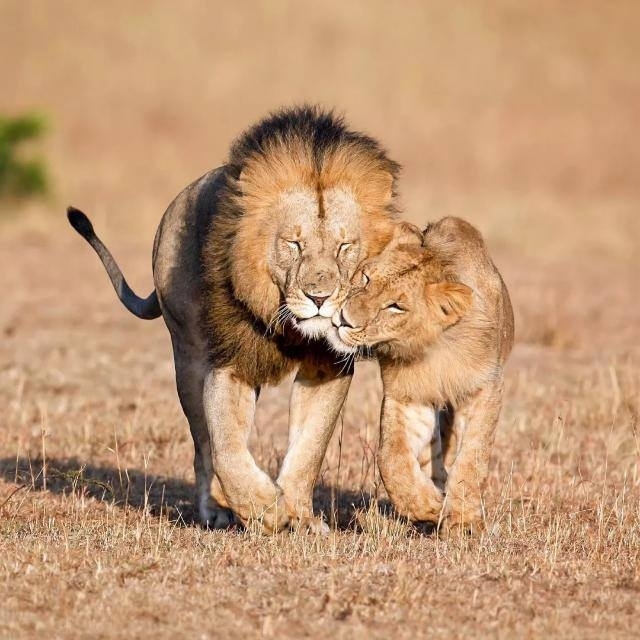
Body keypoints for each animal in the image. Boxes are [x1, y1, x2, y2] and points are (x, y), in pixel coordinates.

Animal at [67, 105, 399, 532]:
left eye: (345, 246)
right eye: (293, 244)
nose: (319, 298)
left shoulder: (328, 364)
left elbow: (310, 446)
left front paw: (301, 516)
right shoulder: (230, 360)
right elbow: (225, 446)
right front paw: (265, 508)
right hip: (188, 356)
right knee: (203, 444)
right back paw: (216, 509)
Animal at [327, 217, 514, 532]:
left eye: (396, 306)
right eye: (365, 278)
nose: (343, 320)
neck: (435, 347)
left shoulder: (485, 389)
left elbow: (472, 456)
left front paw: (463, 520)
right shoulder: (408, 396)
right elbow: (390, 456)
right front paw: (425, 506)